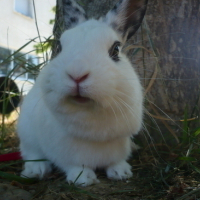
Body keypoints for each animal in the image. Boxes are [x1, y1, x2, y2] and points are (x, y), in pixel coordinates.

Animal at [17, 0, 148, 186]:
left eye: (116, 49)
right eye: (60, 47)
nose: (77, 74)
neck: (90, 111)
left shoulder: (119, 144)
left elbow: (116, 160)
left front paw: (121, 172)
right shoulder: (65, 153)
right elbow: (74, 165)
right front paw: (83, 179)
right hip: (27, 133)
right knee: (31, 153)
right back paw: (36, 170)